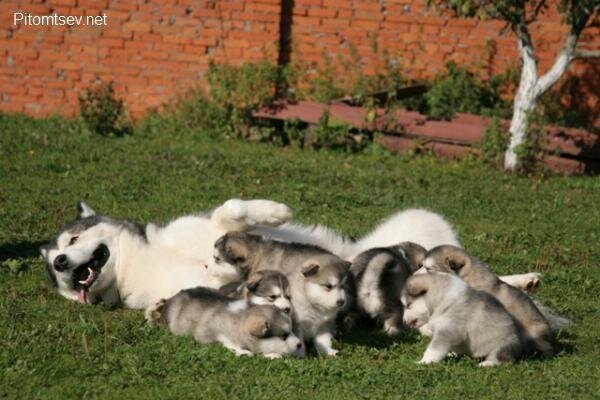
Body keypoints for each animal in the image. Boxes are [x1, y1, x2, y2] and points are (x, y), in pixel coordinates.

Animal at [146, 286, 304, 358]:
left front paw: (272, 355)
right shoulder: (209, 334)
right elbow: (228, 343)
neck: (239, 319)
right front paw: (242, 351)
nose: (300, 344)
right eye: (283, 336)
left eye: (292, 331)